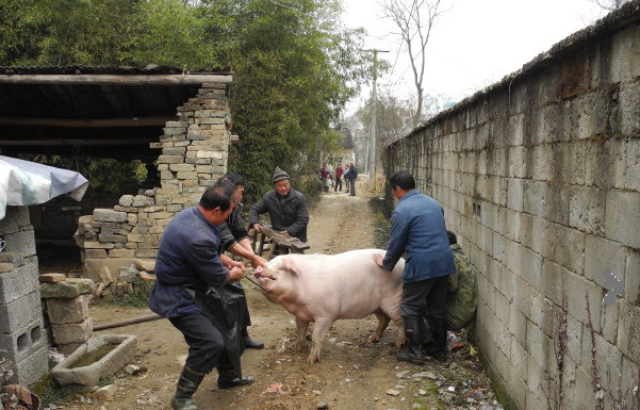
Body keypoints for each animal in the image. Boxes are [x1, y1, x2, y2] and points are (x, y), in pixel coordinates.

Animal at [251, 248, 404, 364]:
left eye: (280, 267)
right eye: (269, 262)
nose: (259, 266)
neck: (297, 301)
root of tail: (403, 262)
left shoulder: (325, 316)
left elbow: (316, 338)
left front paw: (311, 361)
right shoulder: (300, 315)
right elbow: (300, 333)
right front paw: (297, 349)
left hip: (393, 301)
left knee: (400, 321)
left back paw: (399, 345)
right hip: (377, 306)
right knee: (384, 320)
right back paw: (370, 340)